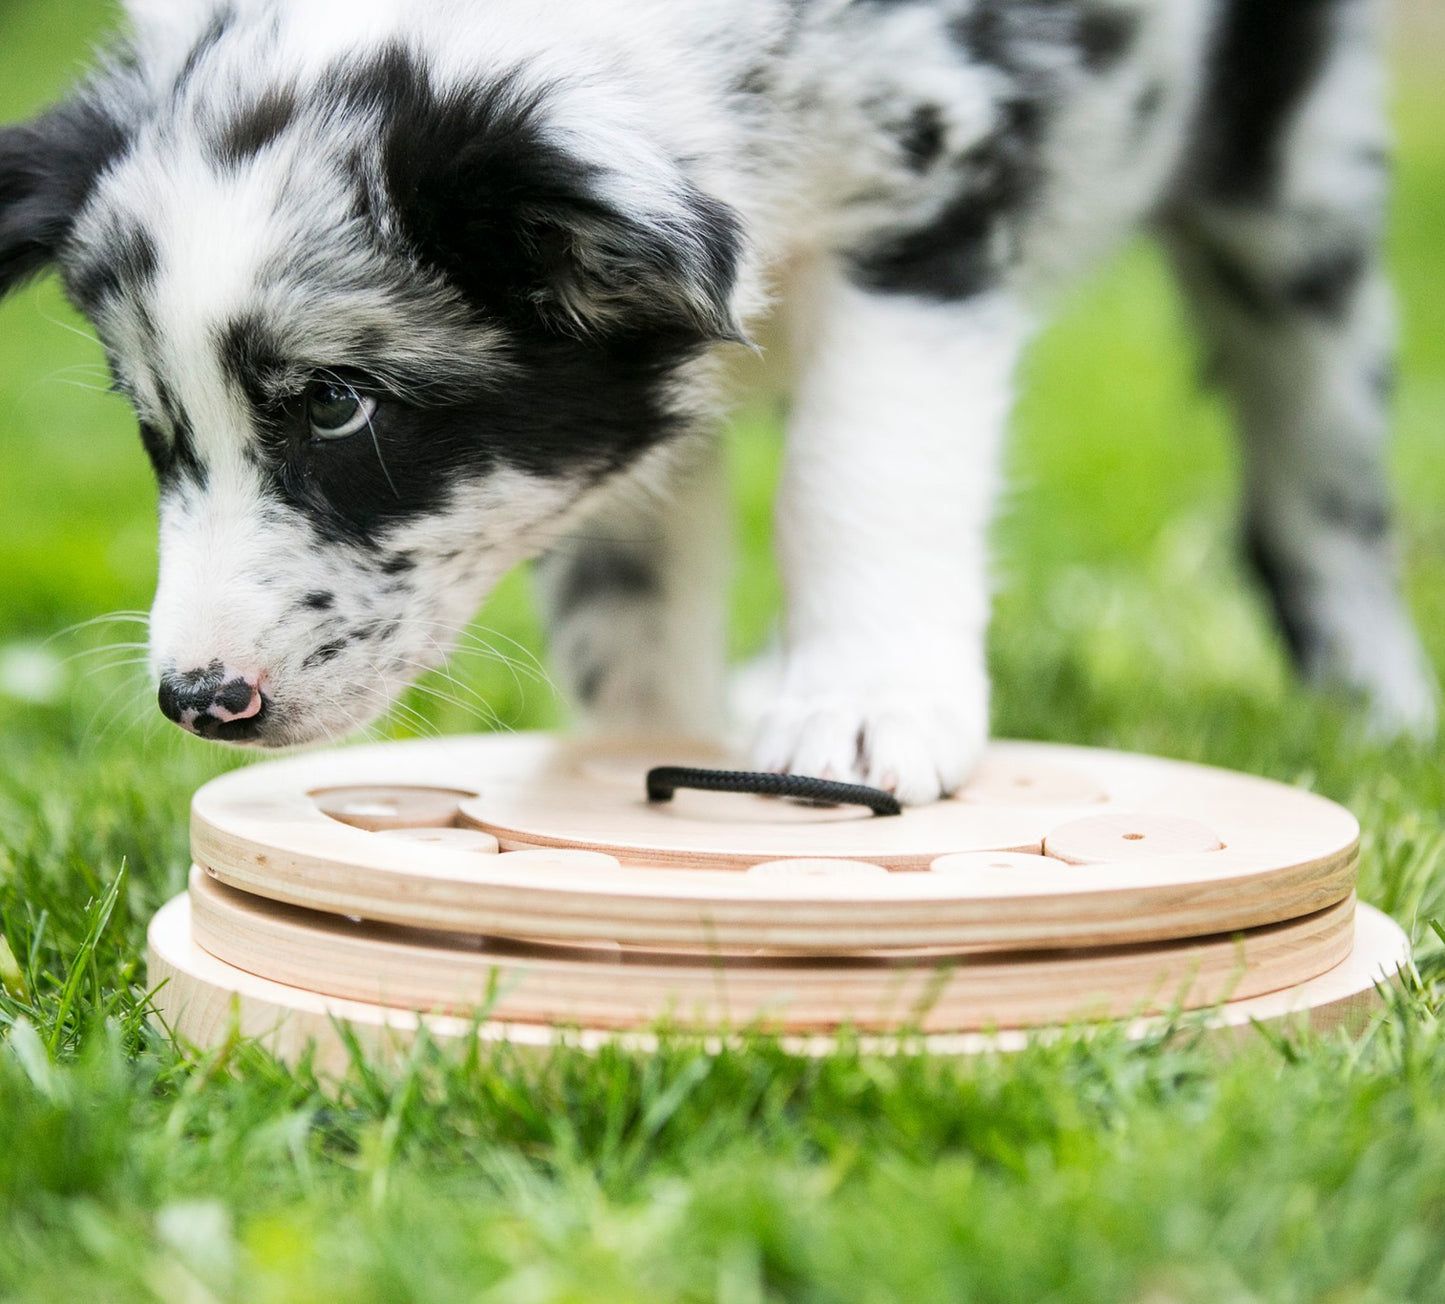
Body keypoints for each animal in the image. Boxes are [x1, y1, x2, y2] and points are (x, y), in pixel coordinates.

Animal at [0, 0, 1433, 803]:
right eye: (153, 425)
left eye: (339, 407)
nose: (199, 699)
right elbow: (625, 581)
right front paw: (649, 749)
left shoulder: (920, 213)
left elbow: (856, 477)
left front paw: (862, 711)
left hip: (1293, 183)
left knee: (1317, 487)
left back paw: (1381, 718)